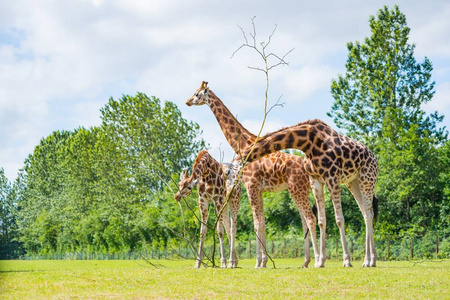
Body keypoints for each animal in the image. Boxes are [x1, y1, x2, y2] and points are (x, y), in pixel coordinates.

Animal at [186, 81, 324, 268]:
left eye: (197, 94)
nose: (187, 101)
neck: (245, 143)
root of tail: (305, 165)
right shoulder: (257, 189)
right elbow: (262, 223)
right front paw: (263, 261)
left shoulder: (251, 186)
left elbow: (256, 224)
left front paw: (259, 262)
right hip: (302, 189)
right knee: (304, 221)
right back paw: (305, 261)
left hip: (296, 188)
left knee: (310, 219)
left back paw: (317, 260)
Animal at [241, 119, 378, 268]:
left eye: (248, 153)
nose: (243, 165)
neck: (308, 144)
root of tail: (374, 158)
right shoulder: (316, 181)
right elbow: (321, 221)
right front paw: (320, 262)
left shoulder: (332, 178)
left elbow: (339, 219)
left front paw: (346, 260)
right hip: (353, 182)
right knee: (366, 213)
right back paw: (370, 260)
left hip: (366, 179)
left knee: (368, 214)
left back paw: (368, 260)